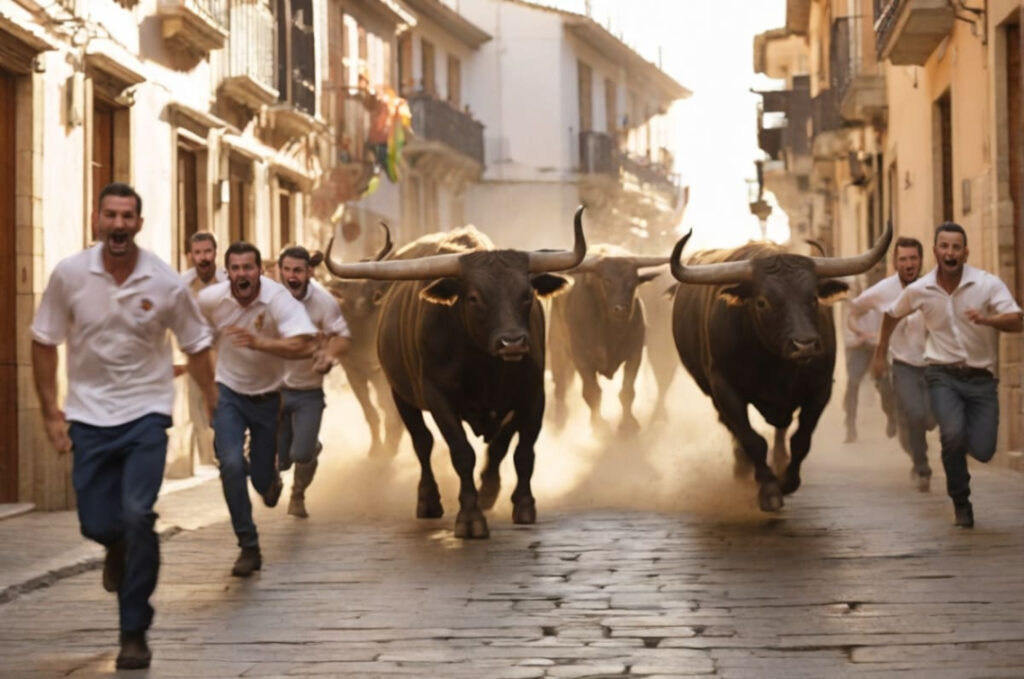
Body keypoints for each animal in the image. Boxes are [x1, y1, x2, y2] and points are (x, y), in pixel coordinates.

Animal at [325, 208, 586, 538]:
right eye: (474, 297)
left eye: (527, 295)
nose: (513, 342)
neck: (486, 366)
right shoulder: (438, 398)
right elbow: (462, 454)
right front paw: (470, 518)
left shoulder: (532, 396)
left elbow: (519, 451)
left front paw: (519, 503)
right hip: (401, 397)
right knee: (422, 444)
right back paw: (428, 501)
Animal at [548, 245, 667, 434]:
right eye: (607, 280)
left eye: (633, 282)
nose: (621, 309)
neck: (610, 331)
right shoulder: (581, 359)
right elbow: (592, 392)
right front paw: (599, 426)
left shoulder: (635, 354)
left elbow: (627, 391)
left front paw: (628, 425)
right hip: (557, 347)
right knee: (560, 385)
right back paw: (559, 419)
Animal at [669, 225, 892, 511]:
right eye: (762, 302)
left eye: (813, 298)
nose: (805, 344)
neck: (776, 368)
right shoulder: (725, 390)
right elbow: (752, 439)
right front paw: (770, 490)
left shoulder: (819, 390)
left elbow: (801, 440)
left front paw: (788, 479)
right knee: (734, 429)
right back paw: (743, 467)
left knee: (781, 429)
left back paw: (778, 460)